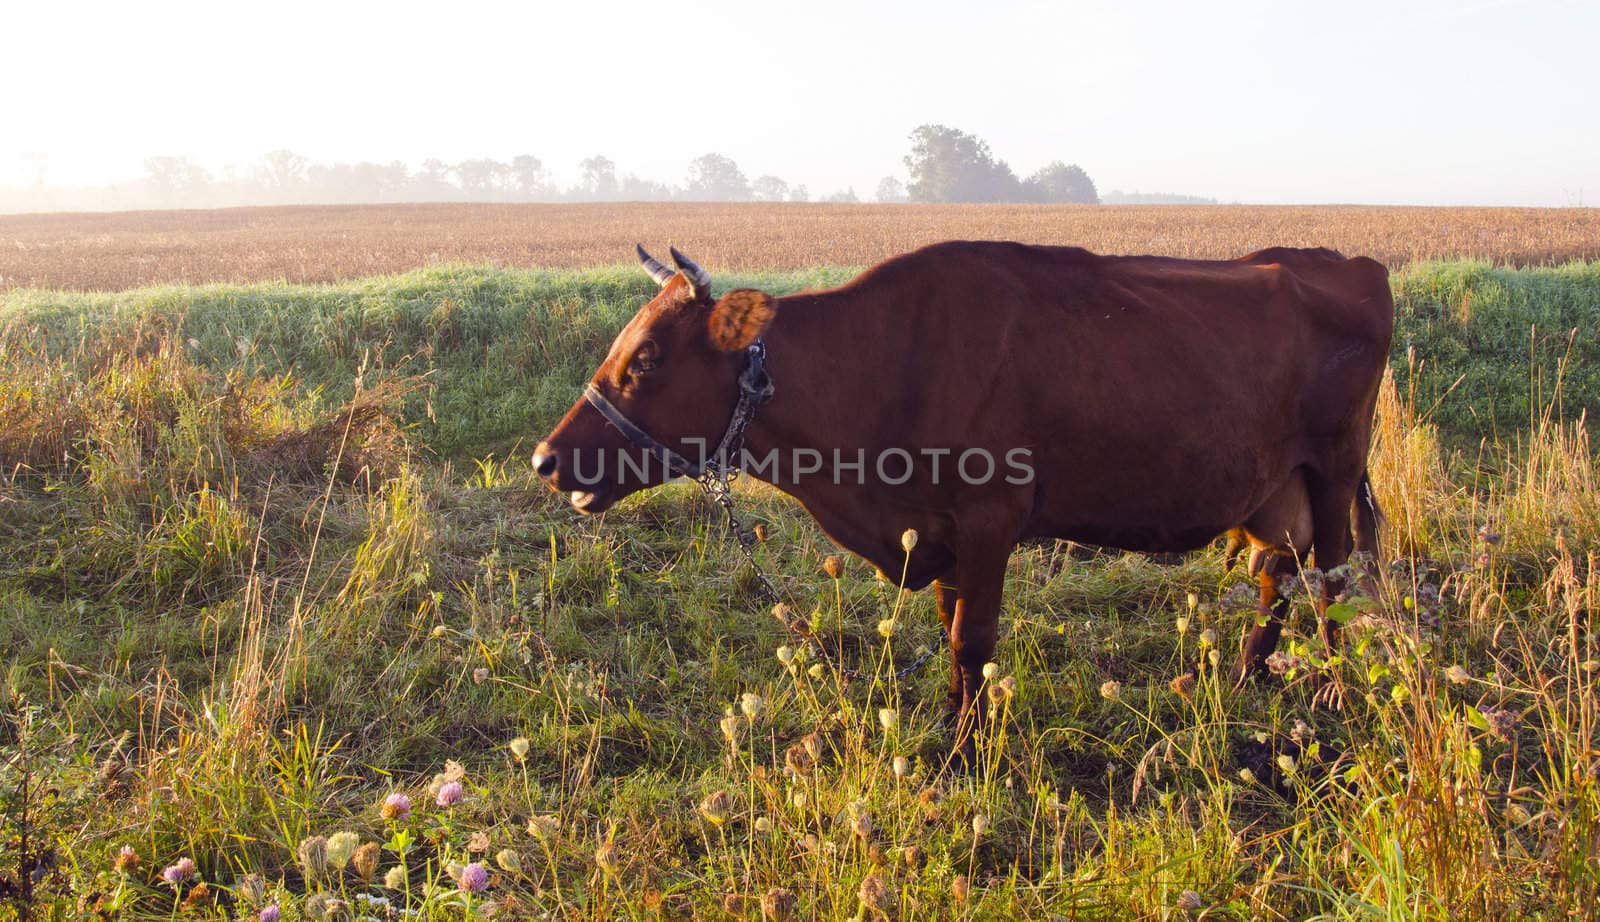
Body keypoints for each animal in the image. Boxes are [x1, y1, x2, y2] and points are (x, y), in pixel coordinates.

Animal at [534, 241, 1388, 752]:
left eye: (646, 358)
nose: (546, 459)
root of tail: (1337, 260)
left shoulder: (988, 518)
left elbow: (972, 638)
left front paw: (967, 749)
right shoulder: (935, 531)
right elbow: (951, 630)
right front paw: (953, 721)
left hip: (1334, 469)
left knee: (1333, 582)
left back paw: (1336, 693)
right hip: (1275, 490)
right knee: (1278, 574)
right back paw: (1246, 677)